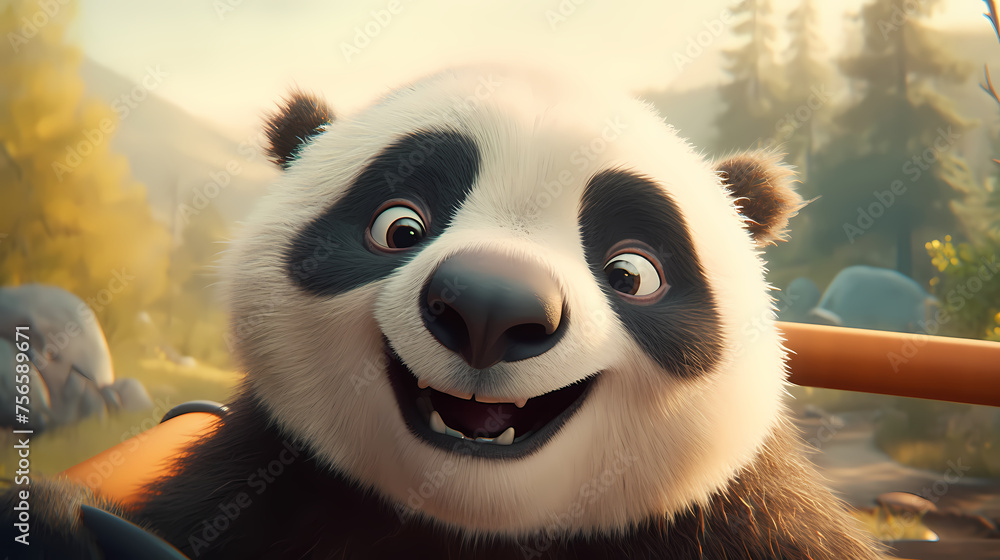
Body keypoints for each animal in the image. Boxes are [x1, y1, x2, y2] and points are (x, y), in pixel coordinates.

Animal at [1, 64, 886, 559]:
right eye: (400, 226)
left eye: (632, 272)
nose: (492, 307)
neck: (471, 522)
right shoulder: (258, 483)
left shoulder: (743, 520)